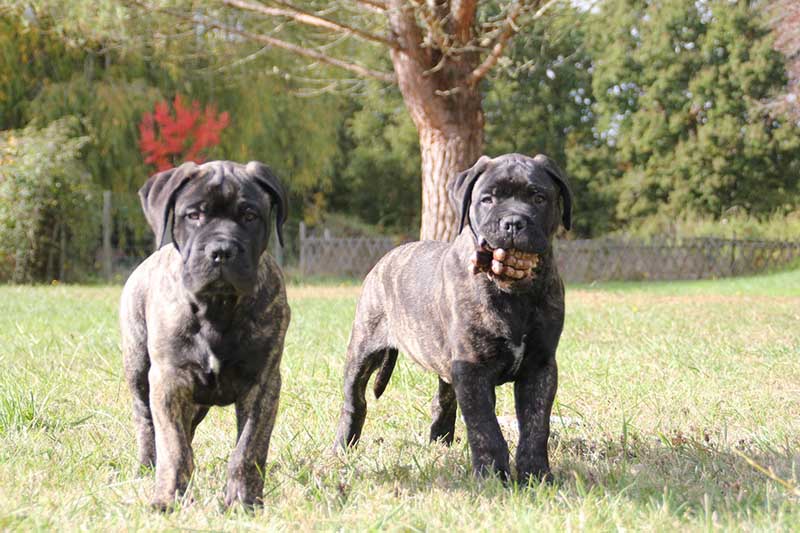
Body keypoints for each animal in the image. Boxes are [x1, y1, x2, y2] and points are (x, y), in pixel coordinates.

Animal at [120, 160, 290, 509]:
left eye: (249, 216)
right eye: (194, 214)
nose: (221, 250)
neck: (218, 307)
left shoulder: (263, 383)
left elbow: (248, 449)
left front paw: (243, 500)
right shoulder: (169, 380)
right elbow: (174, 448)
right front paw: (168, 497)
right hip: (139, 370)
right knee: (146, 421)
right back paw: (147, 466)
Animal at [333, 153, 571, 483]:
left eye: (538, 197)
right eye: (487, 199)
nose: (513, 222)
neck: (512, 291)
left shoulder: (540, 366)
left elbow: (536, 425)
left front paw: (536, 474)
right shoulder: (473, 368)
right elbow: (486, 427)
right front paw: (493, 475)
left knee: (442, 399)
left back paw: (440, 441)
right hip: (363, 348)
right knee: (355, 400)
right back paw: (343, 445)